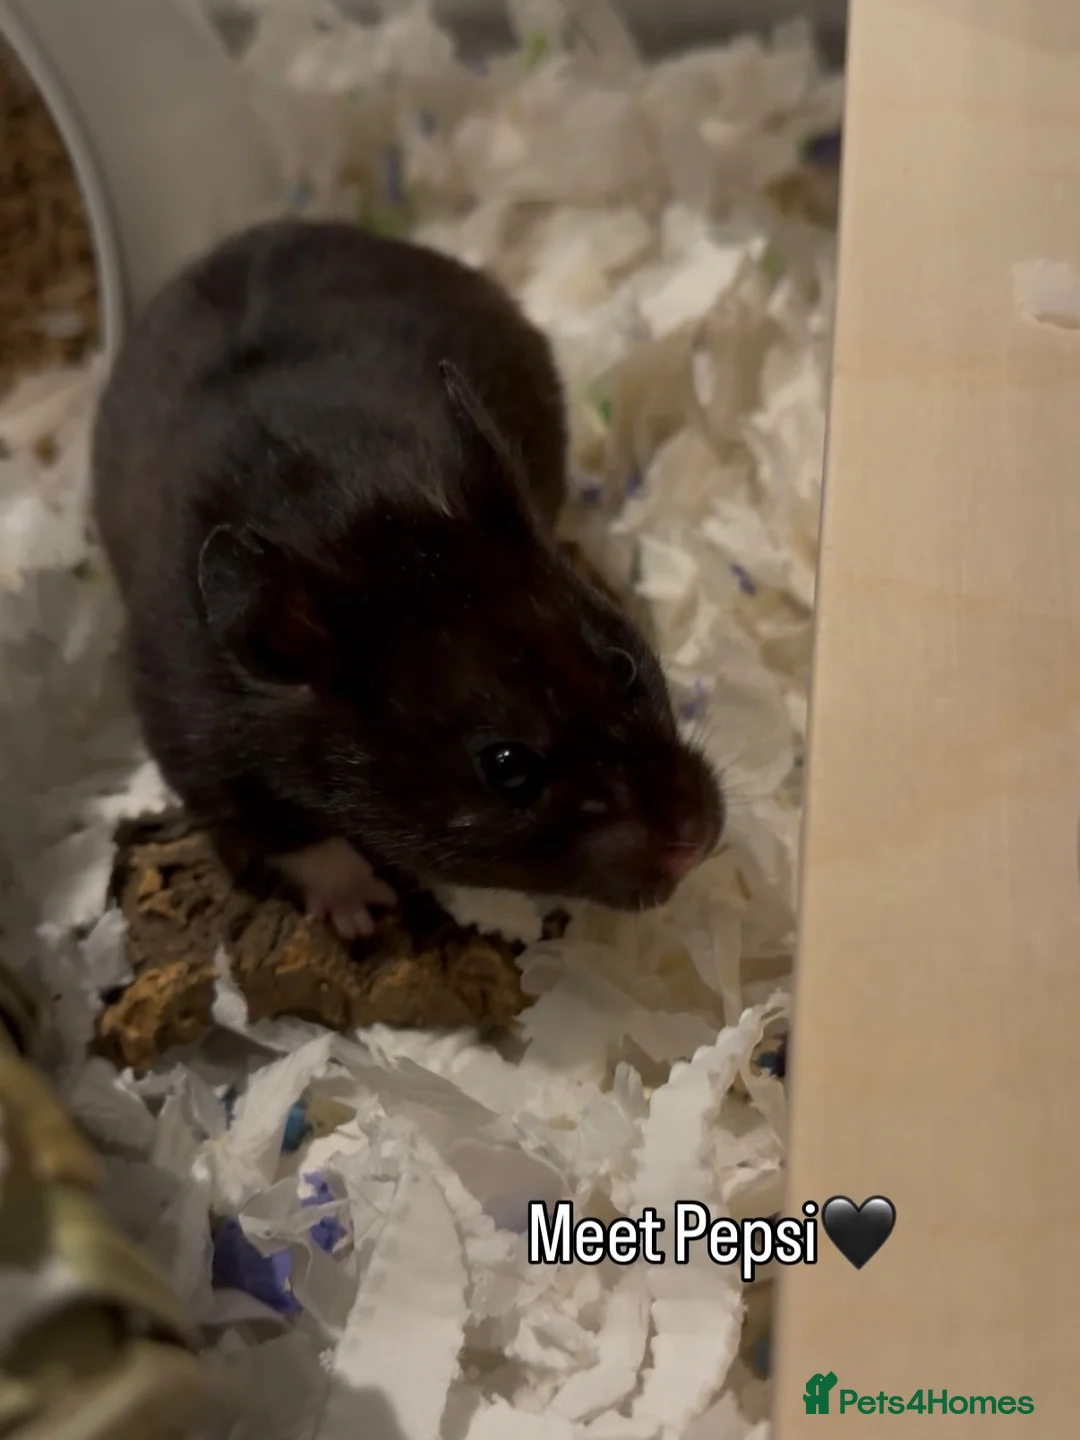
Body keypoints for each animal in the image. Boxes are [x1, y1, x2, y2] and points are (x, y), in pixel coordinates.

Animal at [91, 218, 724, 939]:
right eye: (507, 768)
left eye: (623, 665)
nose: (697, 841)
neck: (342, 519)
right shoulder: (196, 754)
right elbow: (297, 840)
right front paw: (365, 916)